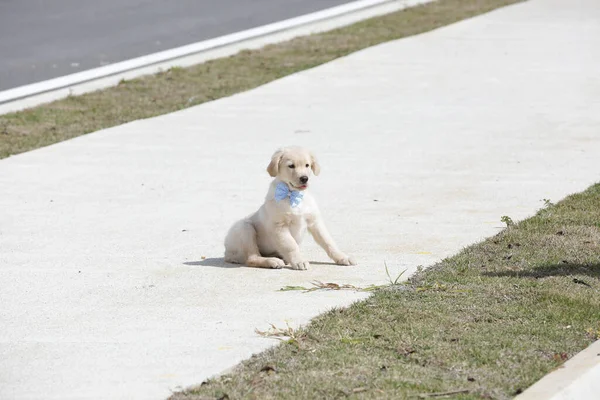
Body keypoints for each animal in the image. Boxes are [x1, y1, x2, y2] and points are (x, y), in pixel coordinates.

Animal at [225, 145, 356, 270]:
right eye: (291, 166)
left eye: (307, 165)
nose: (304, 178)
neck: (293, 195)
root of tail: (227, 254)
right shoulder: (279, 226)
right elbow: (291, 246)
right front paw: (299, 261)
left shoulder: (315, 222)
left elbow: (328, 241)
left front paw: (342, 257)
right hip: (244, 227)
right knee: (251, 258)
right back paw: (272, 261)